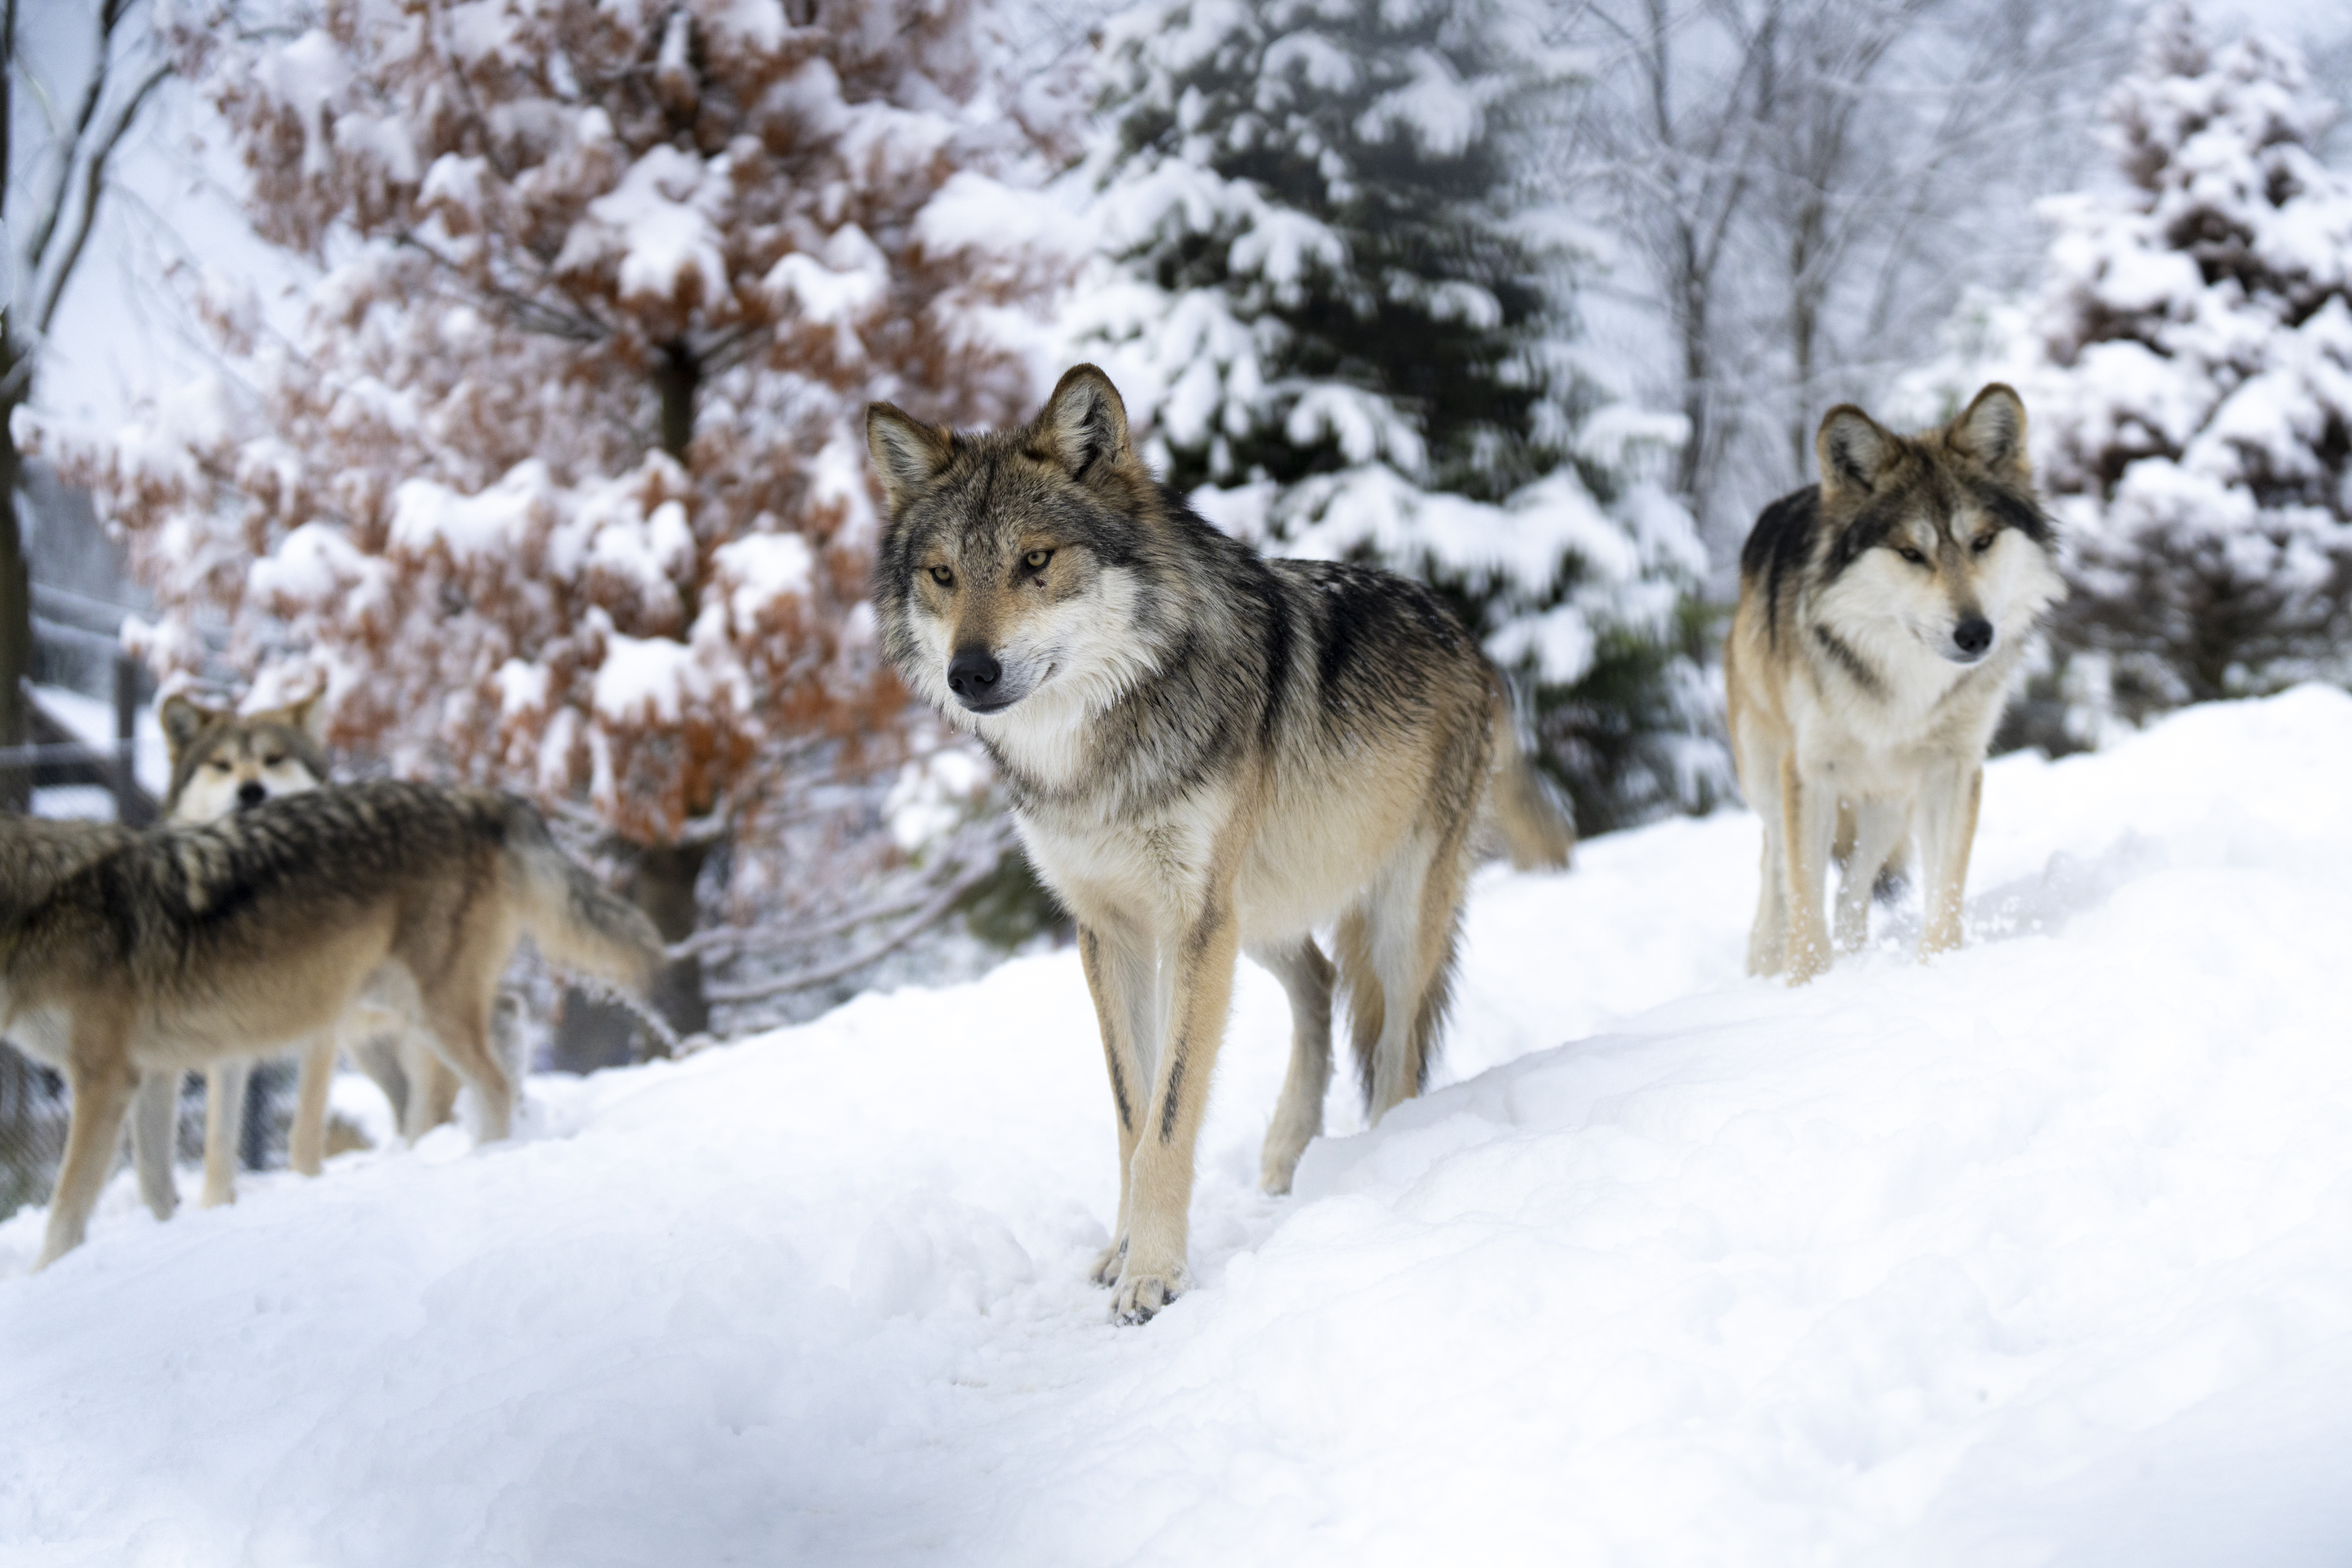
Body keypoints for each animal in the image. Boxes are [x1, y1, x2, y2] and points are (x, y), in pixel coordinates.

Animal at [1, 780, 663, 1267]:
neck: (26, 911)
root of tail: (480, 797)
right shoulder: (154, 1076)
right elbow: (156, 1191)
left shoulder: (103, 1080)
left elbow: (64, 1212)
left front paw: (45, 1278)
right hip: (402, 1005)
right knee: (505, 1022)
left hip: (421, 1010)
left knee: (490, 1081)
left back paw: (485, 1156)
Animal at [123, 694, 465, 1217]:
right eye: (222, 765)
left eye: (273, 759)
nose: (250, 790)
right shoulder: (225, 1034)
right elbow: (220, 1136)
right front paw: (215, 1206)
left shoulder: (319, 1030)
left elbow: (305, 1125)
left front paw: (305, 1184)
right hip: (369, 1049)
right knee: (410, 1101)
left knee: (437, 1099)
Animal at [865, 365, 1573, 1323]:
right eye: (942, 575)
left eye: (1035, 562)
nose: (969, 673)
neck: (1099, 754)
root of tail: (1465, 633)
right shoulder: (1115, 932)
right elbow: (1133, 1111)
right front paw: (1123, 1251)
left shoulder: (1195, 924)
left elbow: (1170, 1115)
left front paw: (1155, 1275)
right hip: (1260, 917)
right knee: (1319, 983)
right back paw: (1285, 1154)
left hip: (1385, 917)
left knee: (1395, 1053)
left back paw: (1386, 1161)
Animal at [1724, 383, 2064, 984]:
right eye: (1910, 552)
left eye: (1982, 541)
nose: (1975, 634)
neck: (1907, 681)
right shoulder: (1808, 771)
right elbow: (1804, 900)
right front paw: (1806, 984)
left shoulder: (1952, 769)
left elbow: (1945, 889)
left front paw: (1940, 968)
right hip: (1767, 778)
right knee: (1777, 867)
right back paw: (1765, 964)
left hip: (1887, 804)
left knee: (1852, 894)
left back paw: (1858, 961)